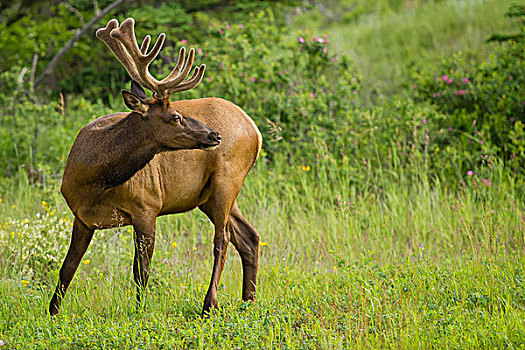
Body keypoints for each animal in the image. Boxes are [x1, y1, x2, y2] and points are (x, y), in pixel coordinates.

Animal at [49, 17, 262, 316]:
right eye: (175, 117)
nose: (215, 135)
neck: (94, 181)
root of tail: (255, 130)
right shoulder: (81, 216)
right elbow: (67, 269)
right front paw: (53, 312)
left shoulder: (147, 205)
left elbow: (141, 271)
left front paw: (140, 311)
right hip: (207, 196)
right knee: (248, 237)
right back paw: (248, 301)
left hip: (228, 178)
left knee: (223, 239)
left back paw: (210, 303)